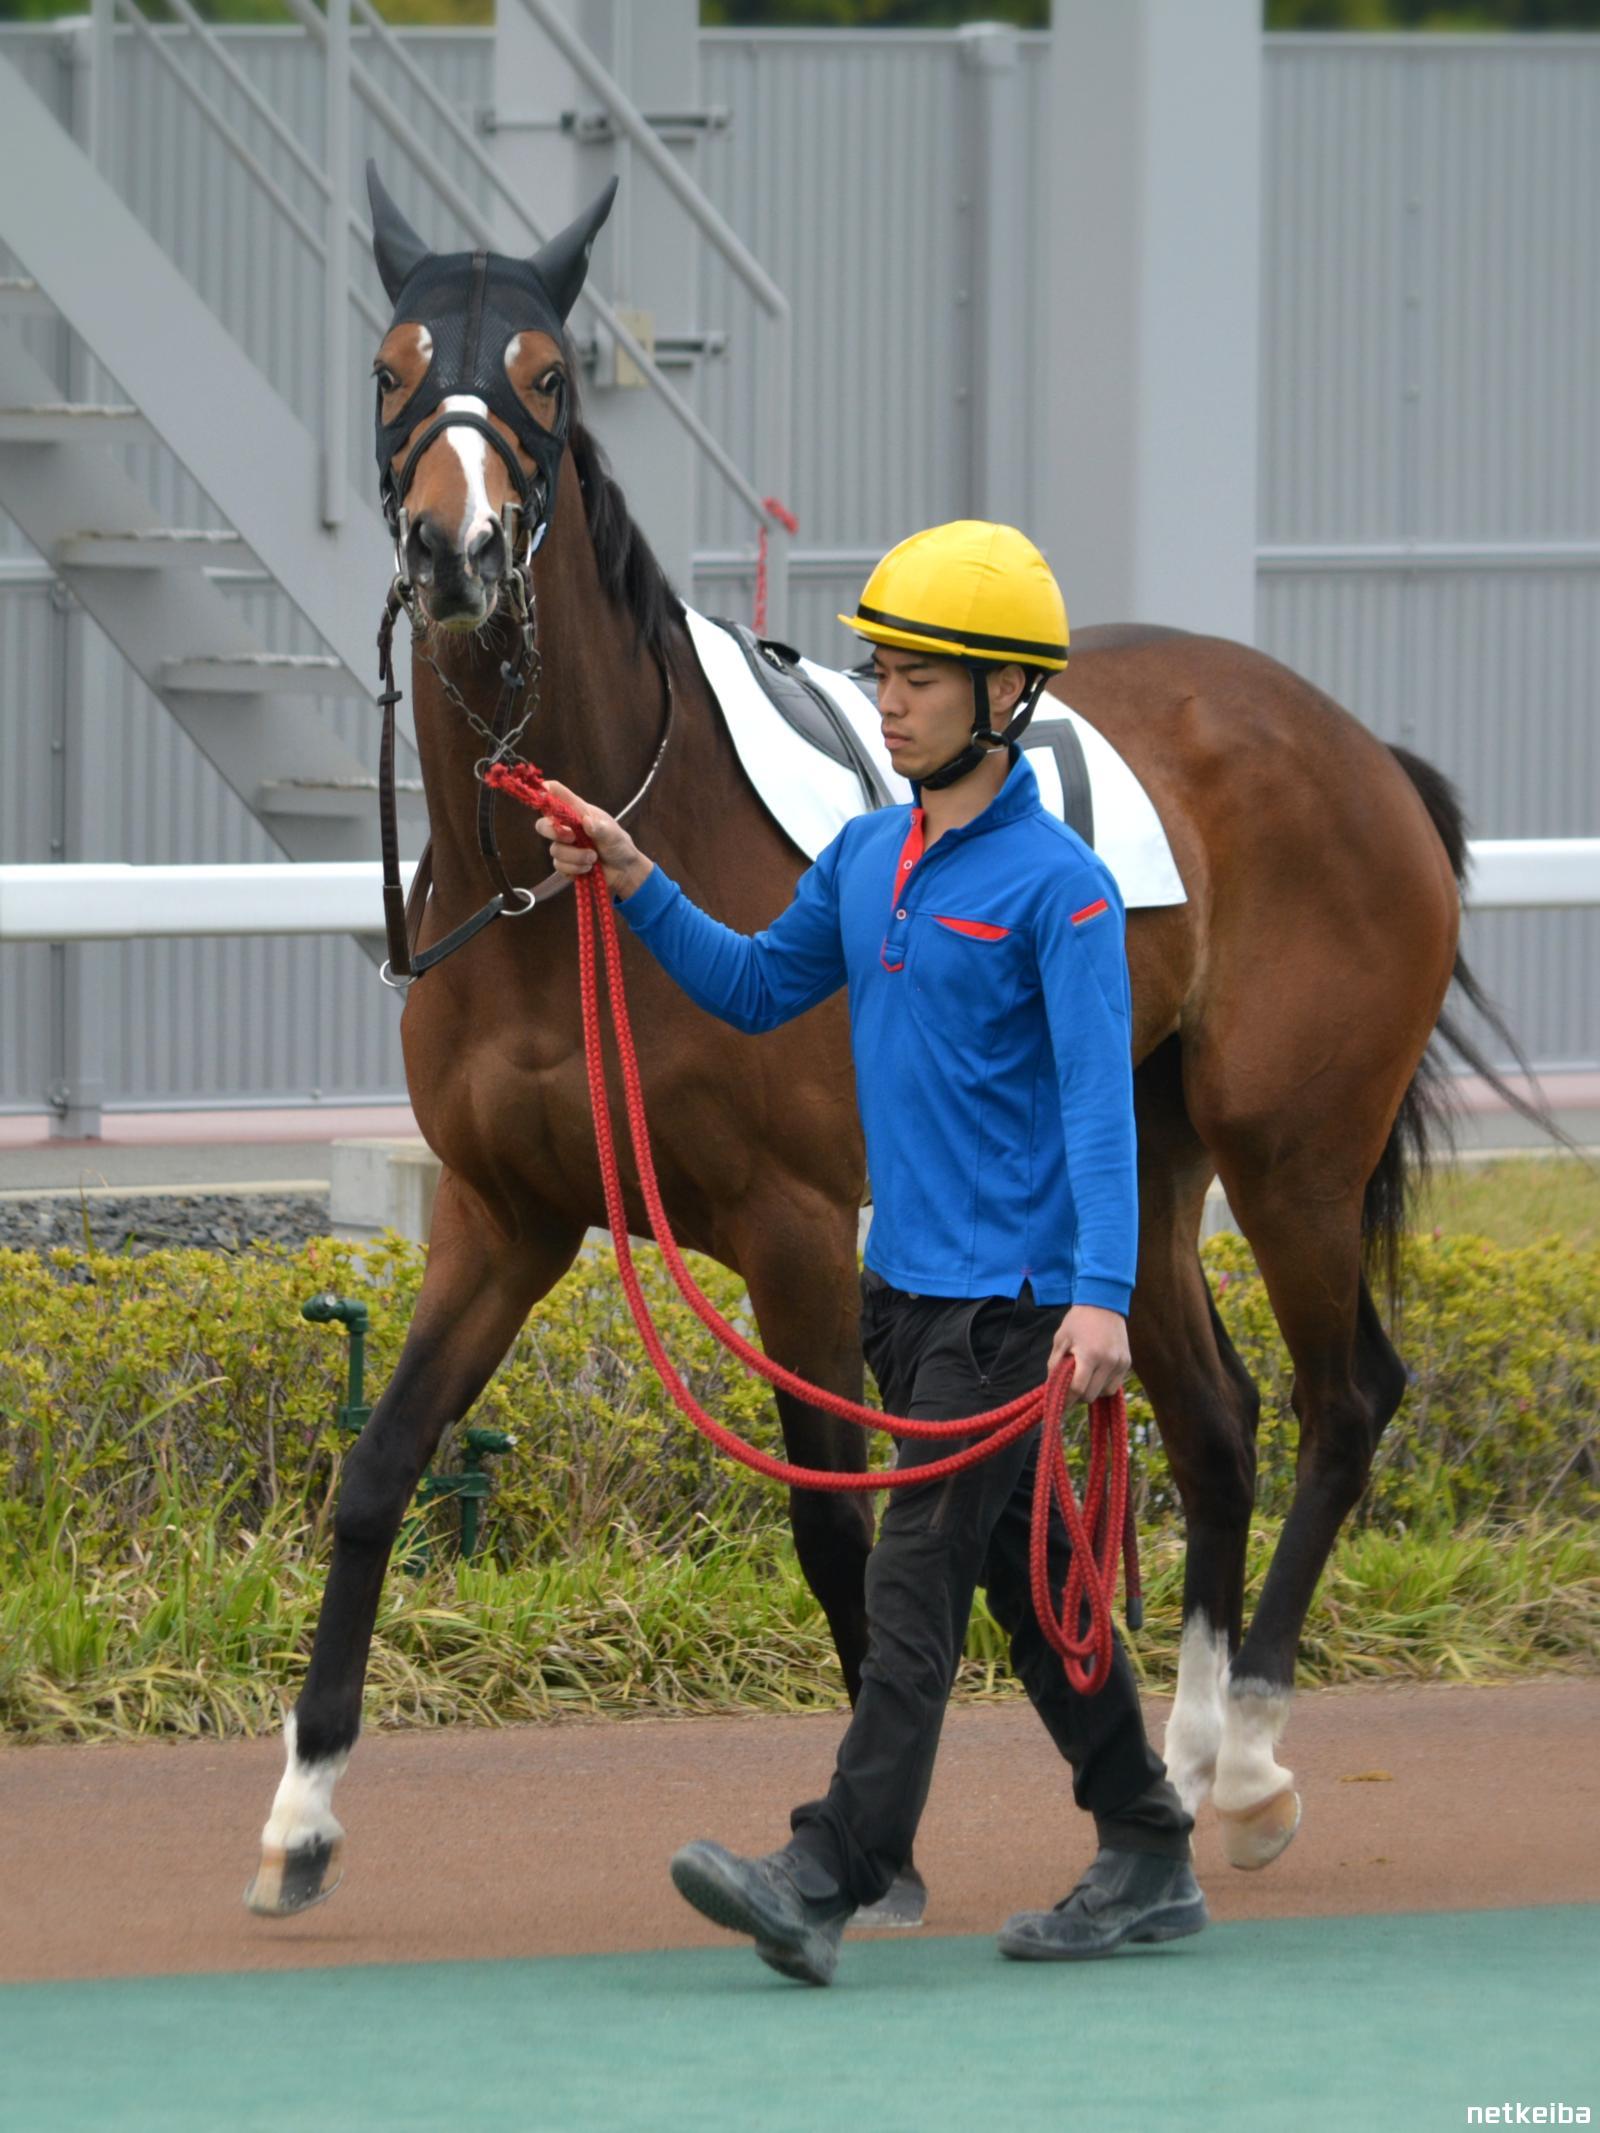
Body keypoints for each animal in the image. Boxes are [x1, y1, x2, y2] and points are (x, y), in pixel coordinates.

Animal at [246, 174, 1524, 1918]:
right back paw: (1190, 1760)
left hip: (1296, 1153)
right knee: (1217, 1421)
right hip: (1136, 1161)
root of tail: (1358, 746)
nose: (458, 547)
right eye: (390, 366)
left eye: (547, 374)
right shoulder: (501, 1215)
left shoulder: (793, 1227)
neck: (557, 891)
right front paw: (302, 1810)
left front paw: (870, 1850)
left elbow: (836, 1524)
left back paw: (1255, 1756)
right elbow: (377, 1468)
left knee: (1348, 1400)